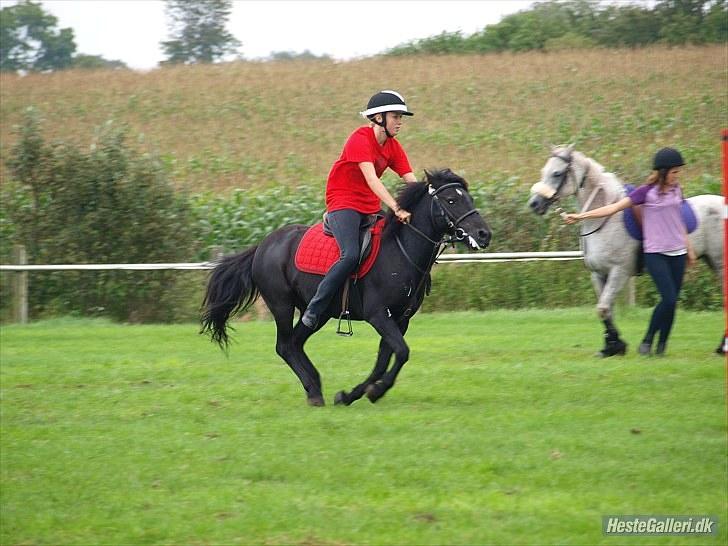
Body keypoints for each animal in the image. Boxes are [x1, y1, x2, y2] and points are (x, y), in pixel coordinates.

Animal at [201, 169, 492, 406]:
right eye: (451, 200)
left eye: (470, 198)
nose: (483, 234)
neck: (401, 251)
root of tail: (262, 245)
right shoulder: (378, 315)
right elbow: (401, 352)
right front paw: (373, 392)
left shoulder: (400, 319)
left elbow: (386, 358)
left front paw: (355, 394)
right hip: (282, 306)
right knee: (284, 346)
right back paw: (314, 391)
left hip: (317, 313)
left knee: (295, 343)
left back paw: (315, 386)